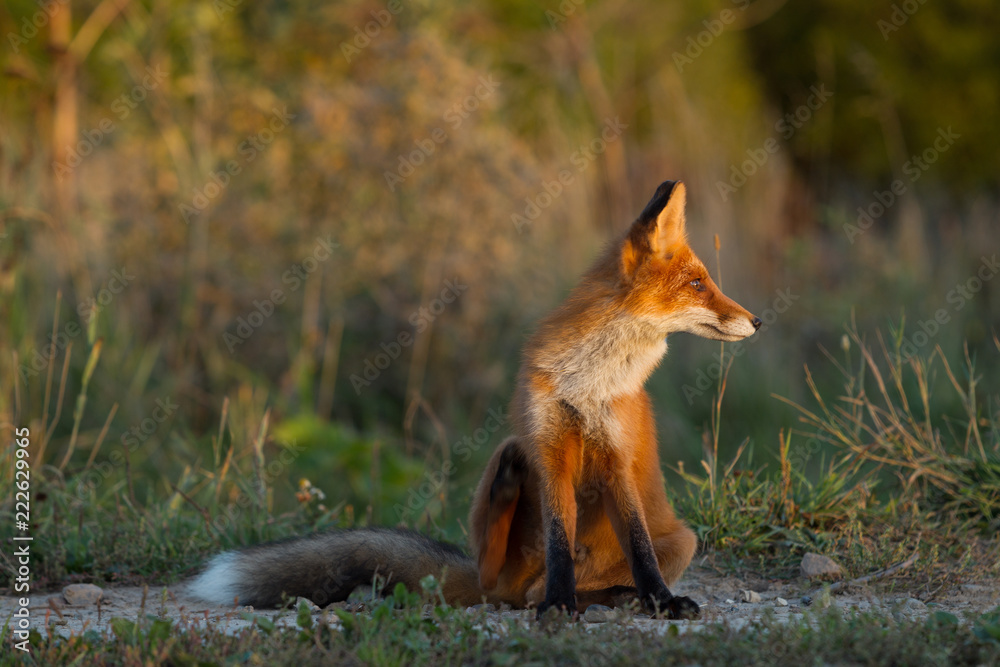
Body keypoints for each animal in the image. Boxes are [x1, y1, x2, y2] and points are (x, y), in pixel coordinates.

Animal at [188, 180, 761, 619]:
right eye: (697, 284)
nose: (757, 321)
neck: (589, 383)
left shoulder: (616, 458)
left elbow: (640, 552)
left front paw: (660, 601)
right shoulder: (549, 448)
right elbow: (559, 542)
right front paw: (559, 606)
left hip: (683, 540)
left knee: (548, 588)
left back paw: (617, 597)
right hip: (510, 472)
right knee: (496, 578)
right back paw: (518, 523)